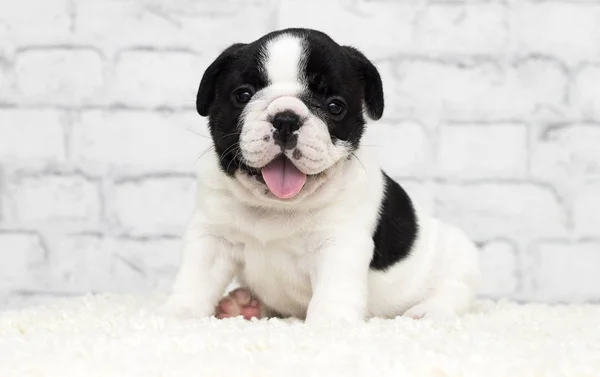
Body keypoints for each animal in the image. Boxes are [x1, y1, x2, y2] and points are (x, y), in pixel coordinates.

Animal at [162, 28, 480, 324]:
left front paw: (329, 324)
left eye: (334, 106)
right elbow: (195, 281)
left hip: (456, 256)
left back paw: (426, 312)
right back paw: (243, 306)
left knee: (454, 291)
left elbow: (334, 291)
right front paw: (178, 314)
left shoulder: (340, 244)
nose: (286, 119)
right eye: (243, 95)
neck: (276, 207)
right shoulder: (211, 237)